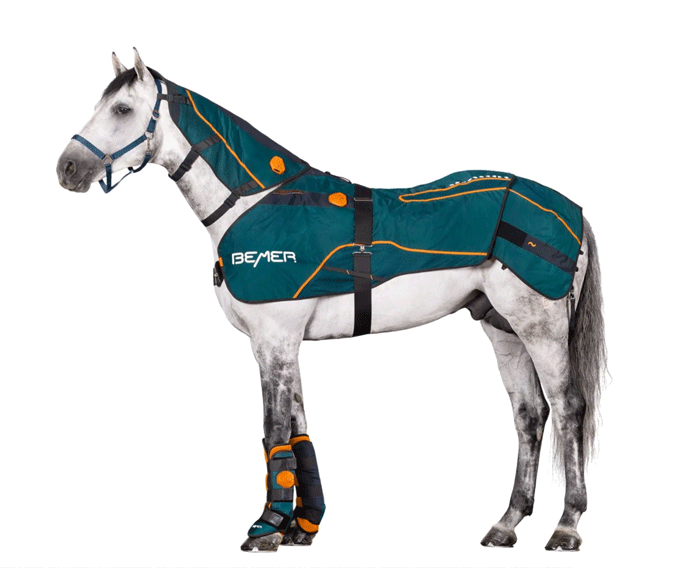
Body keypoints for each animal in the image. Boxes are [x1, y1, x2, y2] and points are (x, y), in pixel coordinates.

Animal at [56, 49, 606, 553]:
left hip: (540, 325)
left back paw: (567, 526)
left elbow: (274, 429)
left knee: (568, 406)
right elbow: (298, 433)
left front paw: (265, 529)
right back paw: (506, 523)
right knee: (529, 414)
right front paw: (300, 527)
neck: (258, 201)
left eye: (122, 108)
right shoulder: (280, 345)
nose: (67, 168)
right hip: (501, 326)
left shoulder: (274, 340)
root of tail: (571, 210)